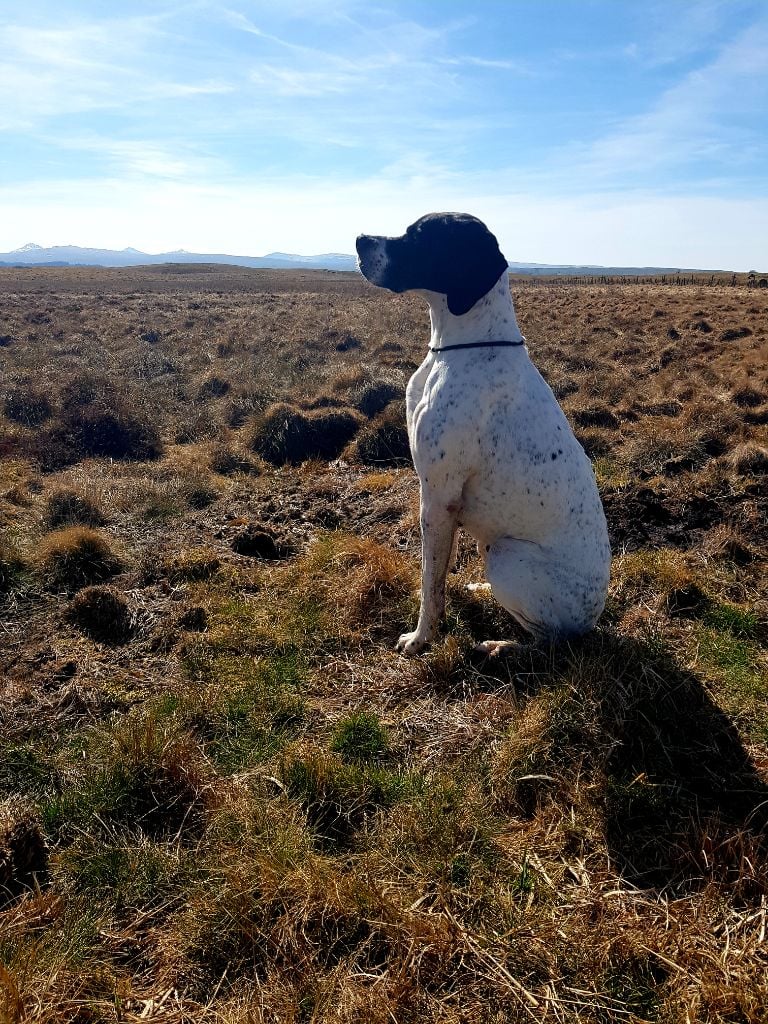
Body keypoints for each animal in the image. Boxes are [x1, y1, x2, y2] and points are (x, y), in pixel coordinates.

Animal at [356, 211, 614, 655]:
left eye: (419, 236)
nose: (359, 240)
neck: (463, 348)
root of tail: (593, 618)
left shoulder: (438, 494)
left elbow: (430, 581)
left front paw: (422, 637)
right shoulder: (447, 503)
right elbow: (441, 569)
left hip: (507, 556)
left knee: (551, 641)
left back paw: (501, 647)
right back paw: (480, 591)